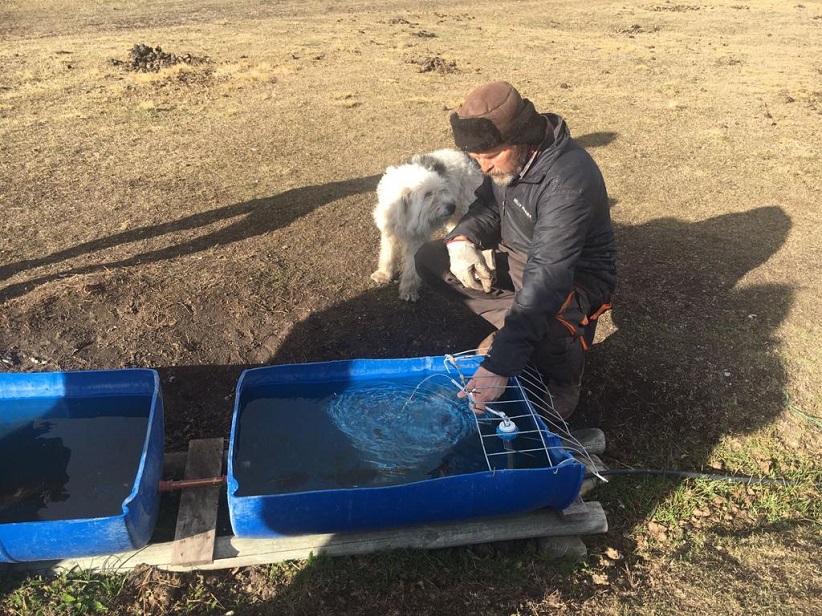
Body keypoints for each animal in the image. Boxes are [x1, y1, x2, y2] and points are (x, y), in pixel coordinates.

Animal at [372, 150, 482, 302]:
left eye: (443, 189)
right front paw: (384, 273)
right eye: (428, 194)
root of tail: (467, 157)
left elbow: (411, 267)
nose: (451, 207)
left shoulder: (416, 240)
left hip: (464, 208)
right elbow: (387, 254)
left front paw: (409, 290)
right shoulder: (389, 231)